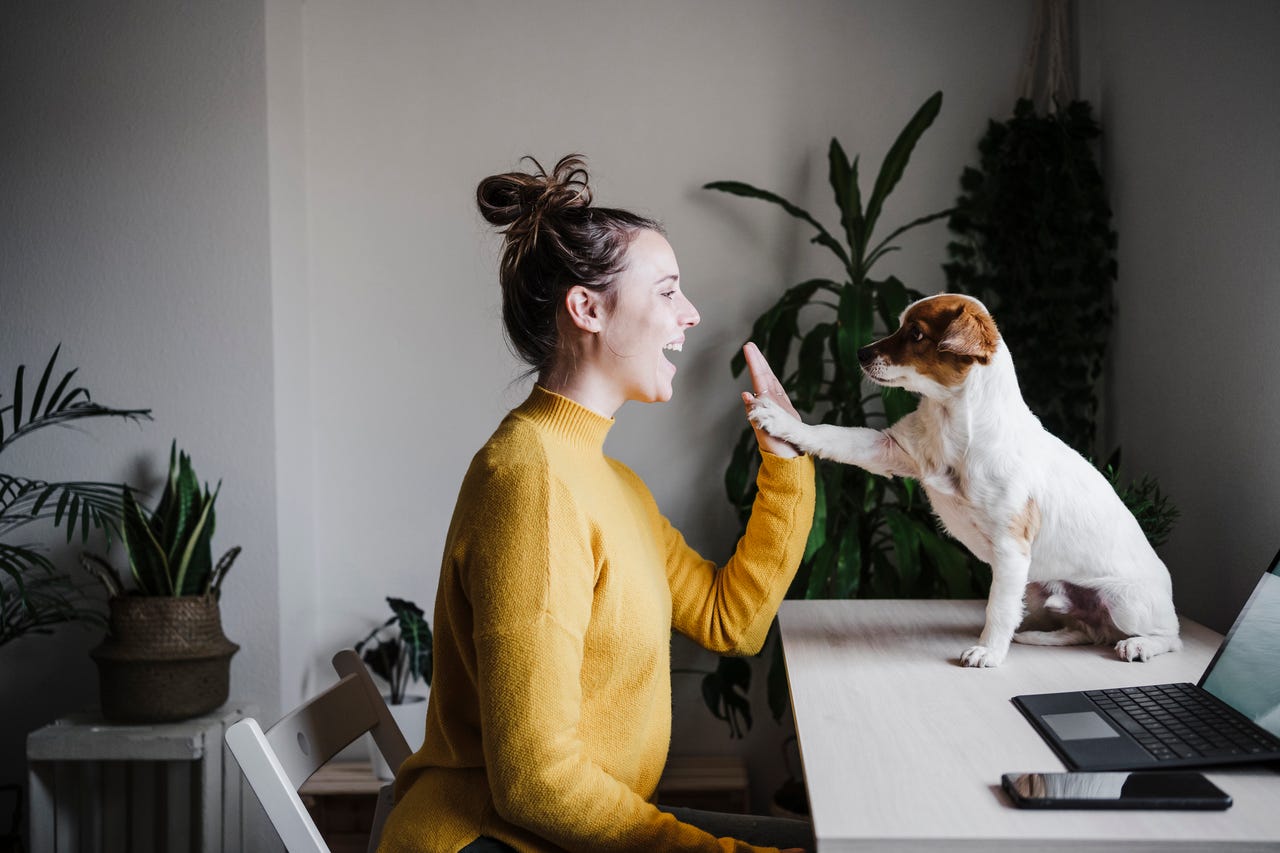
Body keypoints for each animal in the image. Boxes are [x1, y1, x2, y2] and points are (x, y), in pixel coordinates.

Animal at [747, 292, 1177, 666]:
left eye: (916, 334)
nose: (860, 353)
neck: (951, 422)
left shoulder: (1011, 550)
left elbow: (997, 608)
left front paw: (989, 652)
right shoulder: (888, 449)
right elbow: (829, 434)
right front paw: (781, 420)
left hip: (1122, 602)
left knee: (1168, 638)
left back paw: (1139, 646)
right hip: (1038, 586)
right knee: (1085, 629)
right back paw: (1040, 635)